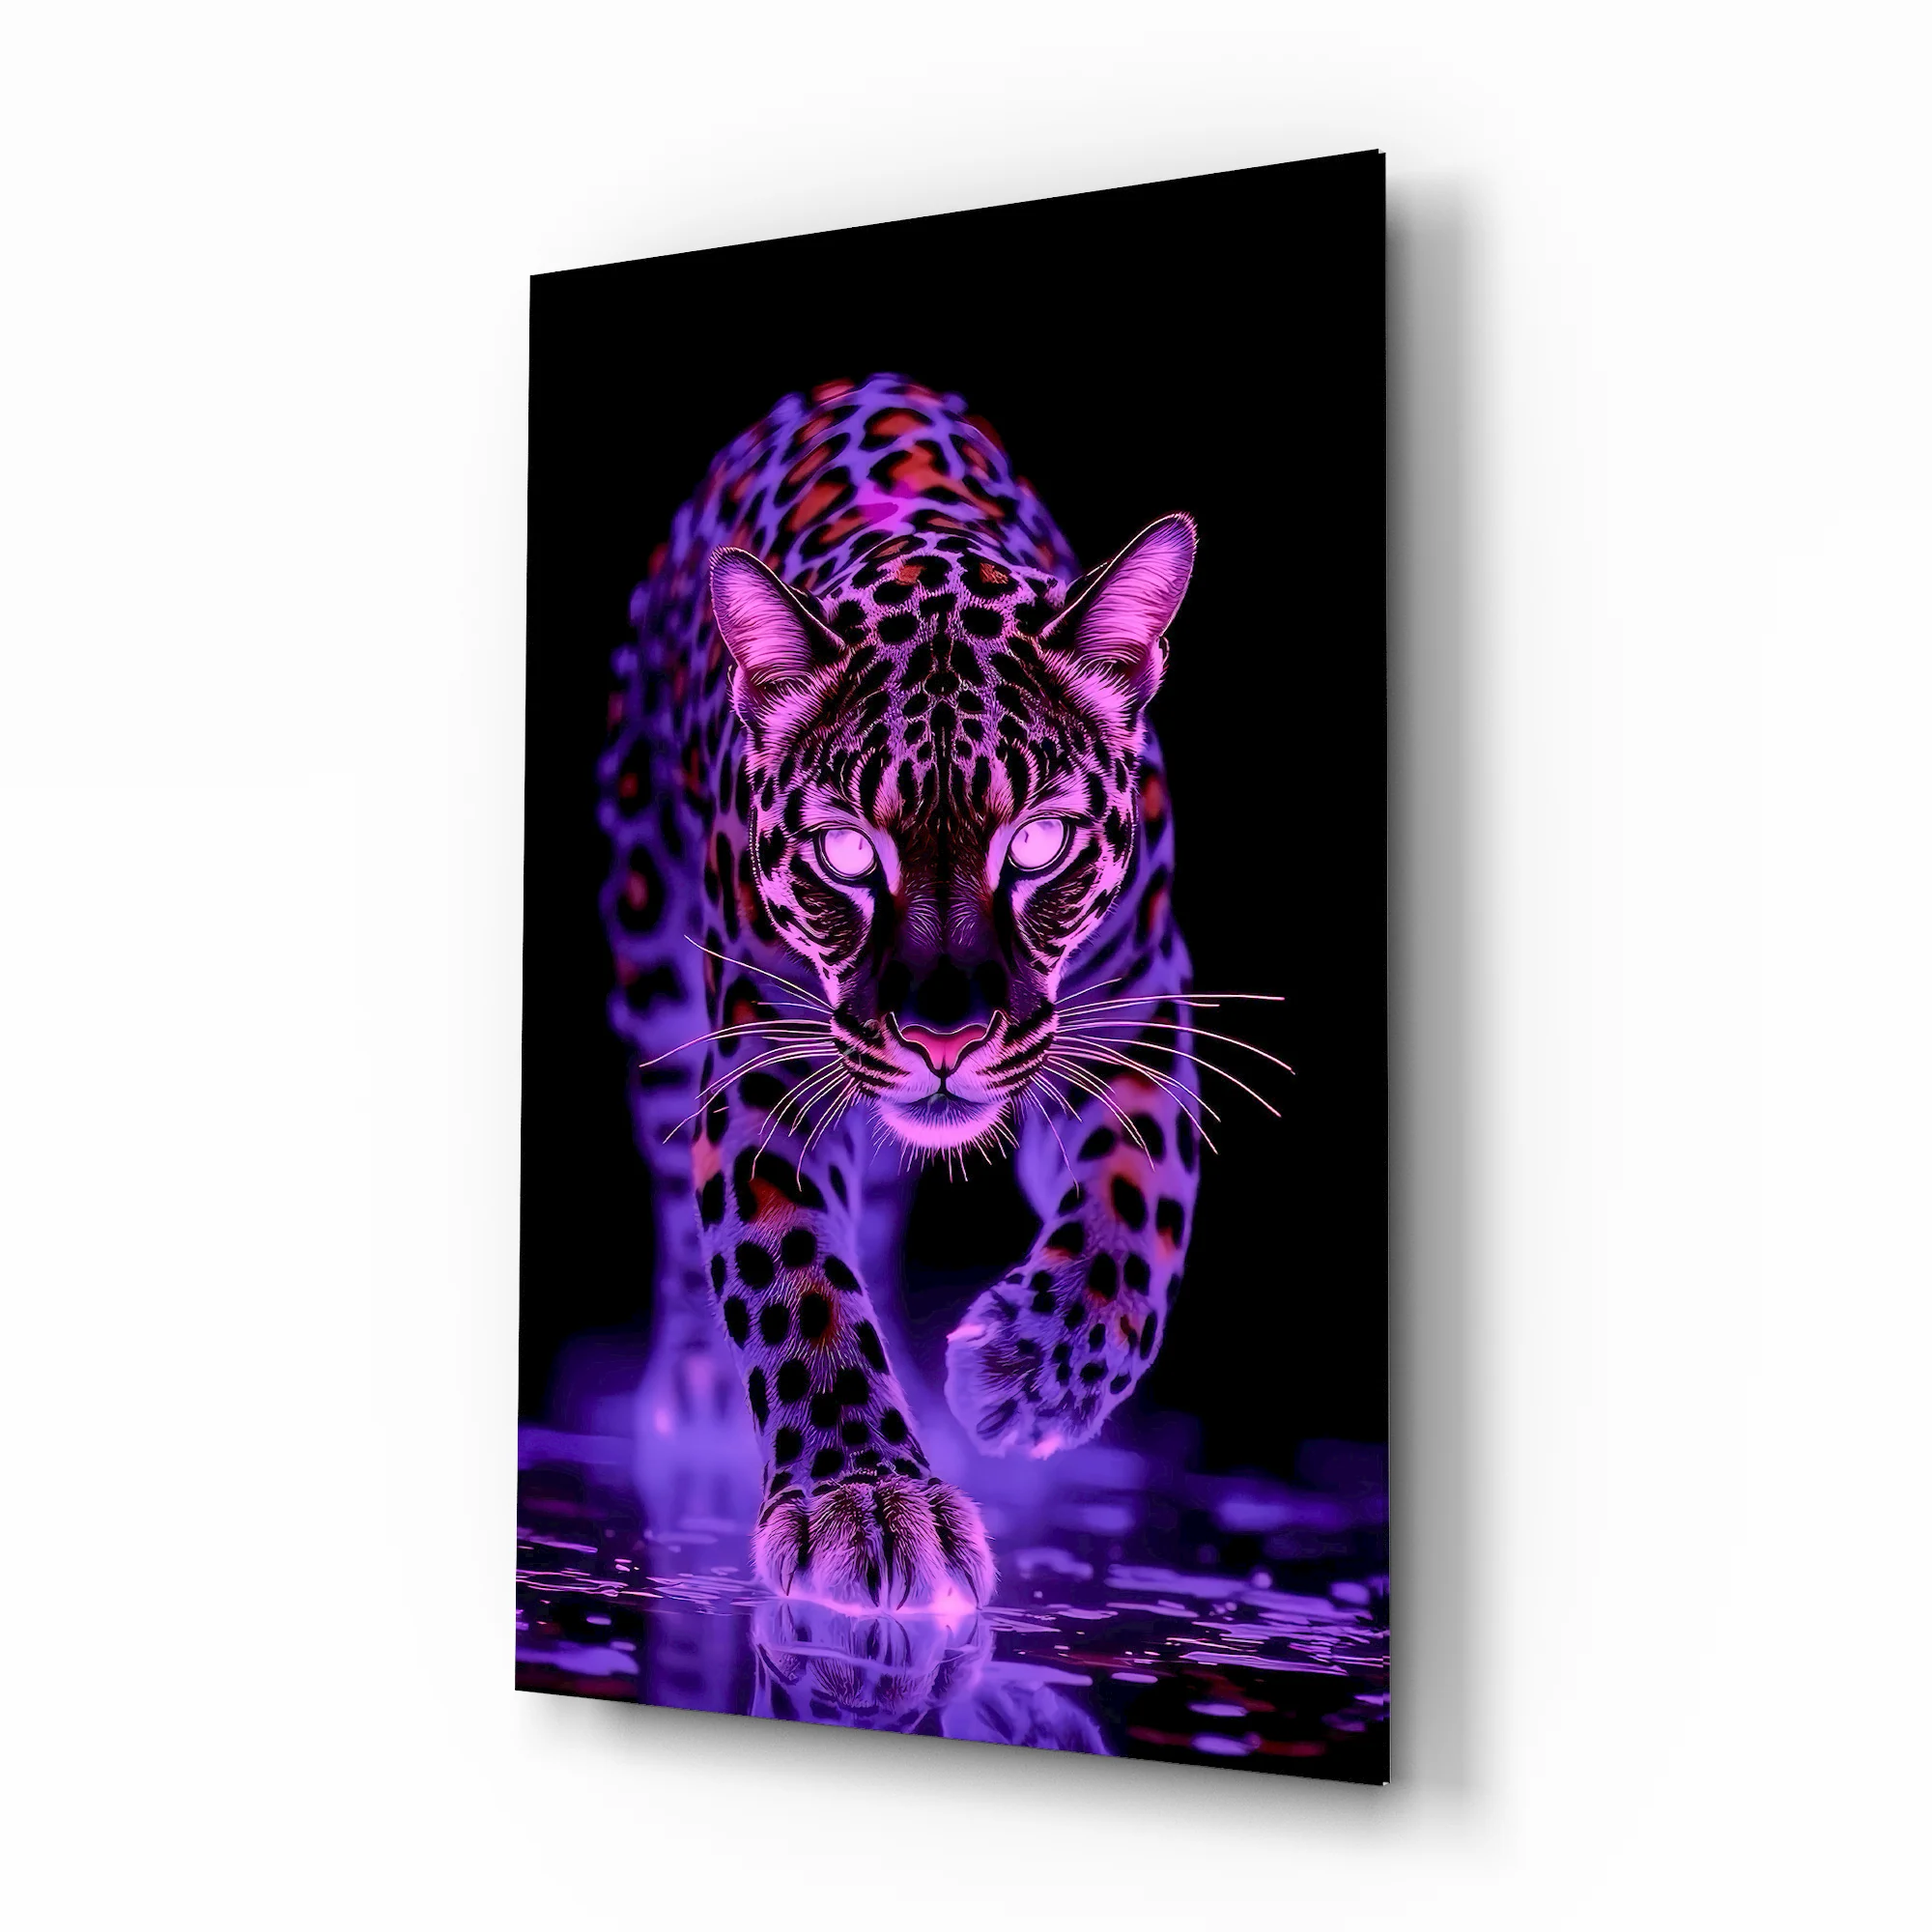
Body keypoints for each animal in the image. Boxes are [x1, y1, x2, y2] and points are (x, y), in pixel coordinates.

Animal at [597, 373, 1210, 1617]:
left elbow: (1135, 1209)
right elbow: (794, 1277)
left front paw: (1027, 1373)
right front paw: (866, 1500)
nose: (943, 1036)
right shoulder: (767, 1065)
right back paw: (694, 1388)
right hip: (647, 947)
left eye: (1038, 841)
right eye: (844, 850)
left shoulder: (1138, 1011)